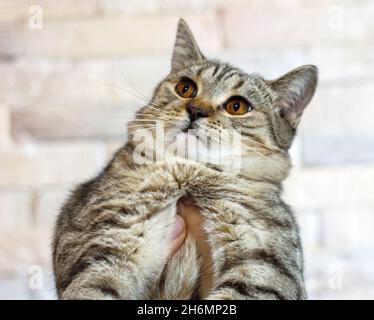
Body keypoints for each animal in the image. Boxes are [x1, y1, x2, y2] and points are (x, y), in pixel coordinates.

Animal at [51, 19, 318, 300]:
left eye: (237, 106)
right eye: (185, 88)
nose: (195, 110)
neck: (188, 174)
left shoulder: (266, 265)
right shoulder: (107, 238)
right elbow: (93, 286)